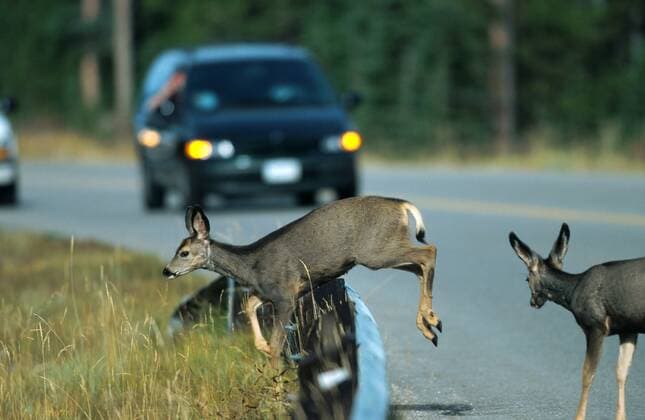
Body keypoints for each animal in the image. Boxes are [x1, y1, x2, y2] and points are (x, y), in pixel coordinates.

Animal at [163, 195, 441, 364]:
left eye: (183, 252)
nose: (166, 270)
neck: (250, 266)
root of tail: (402, 204)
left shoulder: (285, 295)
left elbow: (278, 343)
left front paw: (274, 379)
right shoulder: (271, 292)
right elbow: (248, 305)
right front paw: (262, 347)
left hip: (375, 252)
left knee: (429, 251)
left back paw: (430, 321)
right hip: (384, 251)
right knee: (419, 266)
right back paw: (430, 325)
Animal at [509, 223, 645, 420]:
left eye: (527, 278)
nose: (532, 302)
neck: (572, 291)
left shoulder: (595, 325)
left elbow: (587, 374)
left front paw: (579, 416)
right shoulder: (628, 328)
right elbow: (621, 372)